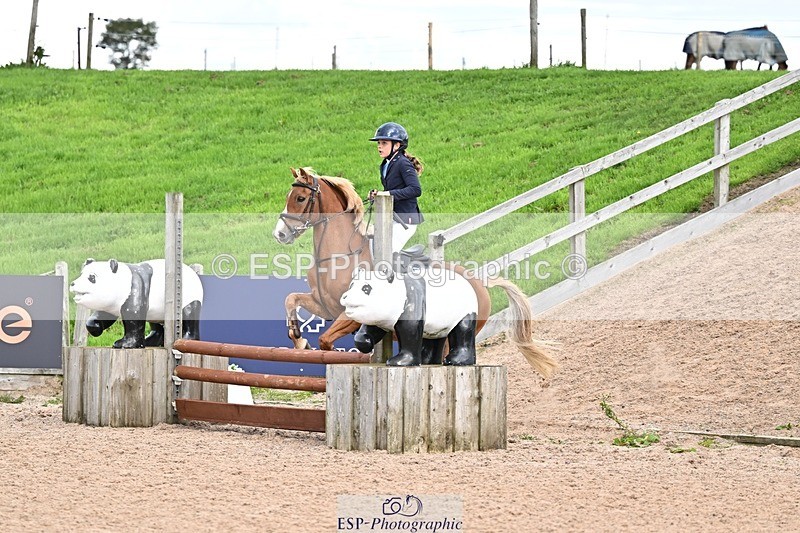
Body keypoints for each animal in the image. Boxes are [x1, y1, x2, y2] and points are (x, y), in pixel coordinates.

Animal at [272, 167, 556, 378]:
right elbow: (291, 299)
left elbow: (326, 340)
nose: (280, 234)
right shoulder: (324, 305)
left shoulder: (349, 313)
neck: (340, 255)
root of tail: (480, 282)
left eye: (299, 198)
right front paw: (299, 340)